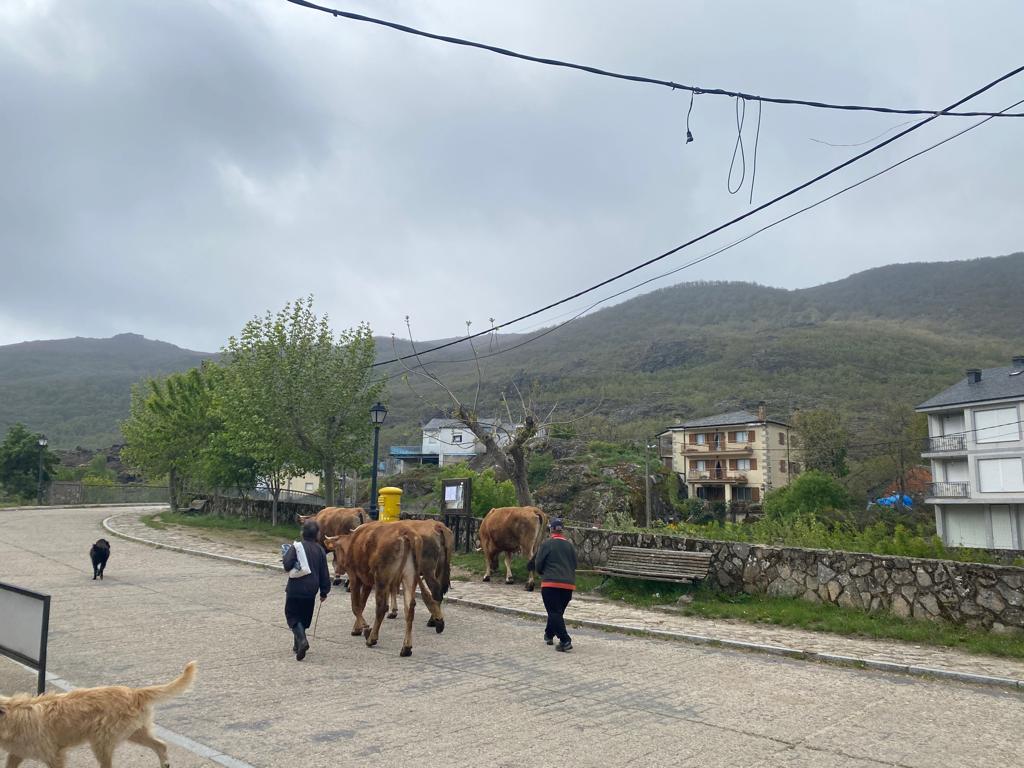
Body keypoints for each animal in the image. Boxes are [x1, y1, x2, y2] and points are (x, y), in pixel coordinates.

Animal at [0, 663, 194, 768]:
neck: (9, 715)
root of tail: (134, 692)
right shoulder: (16, 753)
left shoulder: (54, 756)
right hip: (135, 732)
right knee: (161, 745)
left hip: (102, 741)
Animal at [327, 520, 440, 659]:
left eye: (336, 550)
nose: (337, 568)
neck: (353, 542)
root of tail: (405, 532)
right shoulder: (368, 582)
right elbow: (362, 605)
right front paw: (357, 628)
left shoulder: (355, 578)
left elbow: (356, 606)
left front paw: (365, 628)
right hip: (409, 576)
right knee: (409, 608)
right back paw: (406, 647)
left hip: (382, 578)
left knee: (381, 608)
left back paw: (372, 638)